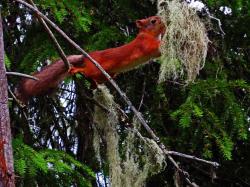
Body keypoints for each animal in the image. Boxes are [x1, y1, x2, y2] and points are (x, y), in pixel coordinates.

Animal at [14, 15, 165, 103]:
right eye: (153, 21)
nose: (164, 23)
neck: (149, 34)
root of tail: (86, 57)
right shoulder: (144, 44)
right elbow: (155, 48)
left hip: (108, 74)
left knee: (95, 79)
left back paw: (94, 85)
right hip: (94, 68)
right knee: (86, 71)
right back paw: (77, 70)